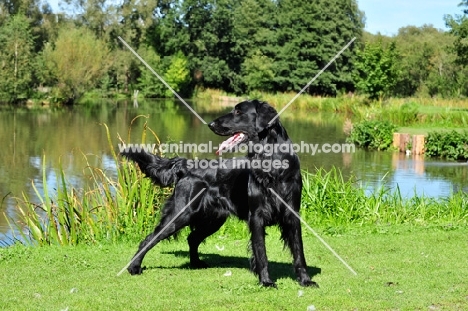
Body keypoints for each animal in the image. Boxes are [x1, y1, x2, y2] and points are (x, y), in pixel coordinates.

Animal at [121, 100, 318, 288]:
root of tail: (186, 165)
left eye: (238, 111)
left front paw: (305, 280)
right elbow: (261, 252)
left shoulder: (292, 214)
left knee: (192, 238)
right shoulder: (257, 216)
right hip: (180, 214)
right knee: (148, 239)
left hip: (213, 219)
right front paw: (266, 281)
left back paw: (196, 263)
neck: (272, 163)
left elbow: (299, 251)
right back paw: (134, 267)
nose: (211, 124)